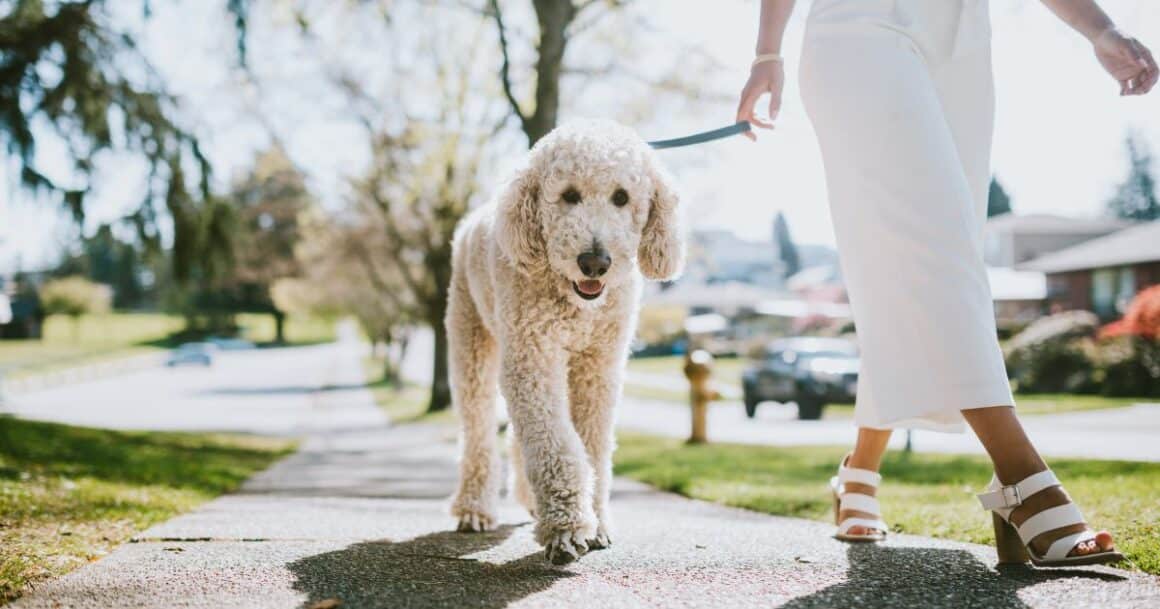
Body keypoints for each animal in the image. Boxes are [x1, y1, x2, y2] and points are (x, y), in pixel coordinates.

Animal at [440, 120, 677, 566]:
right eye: (568, 195)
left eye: (622, 197)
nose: (595, 262)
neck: (573, 299)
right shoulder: (531, 357)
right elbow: (555, 443)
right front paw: (566, 527)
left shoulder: (598, 366)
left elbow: (592, 446)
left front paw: (594, 522)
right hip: (471, 342)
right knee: (478, 431)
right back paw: (474, 509)